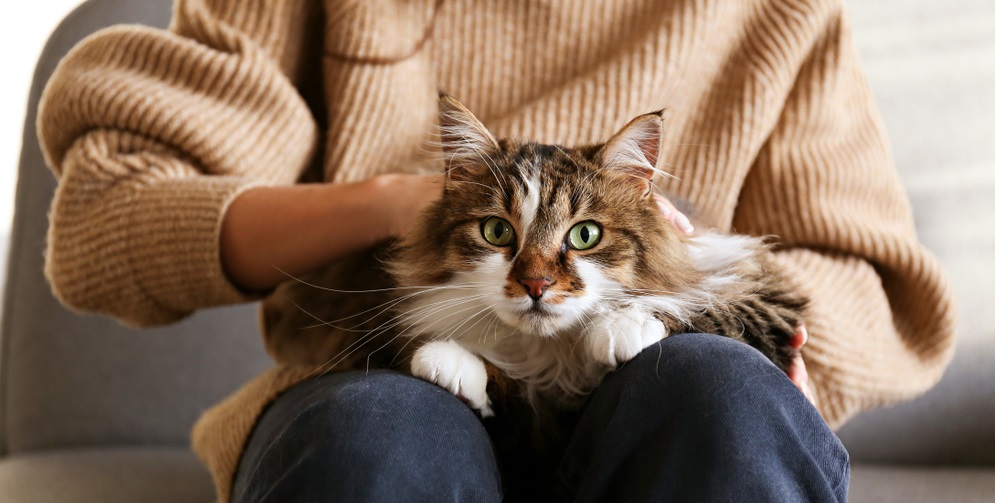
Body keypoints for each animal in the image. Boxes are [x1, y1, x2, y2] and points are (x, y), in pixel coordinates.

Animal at [390, 94, 808, 418]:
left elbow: (698, 305)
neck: (558, 353)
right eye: (497, 231)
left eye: (585, 235)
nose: (535, 285)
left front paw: (620, 327)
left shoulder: (765, 292)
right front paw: (451, 362)